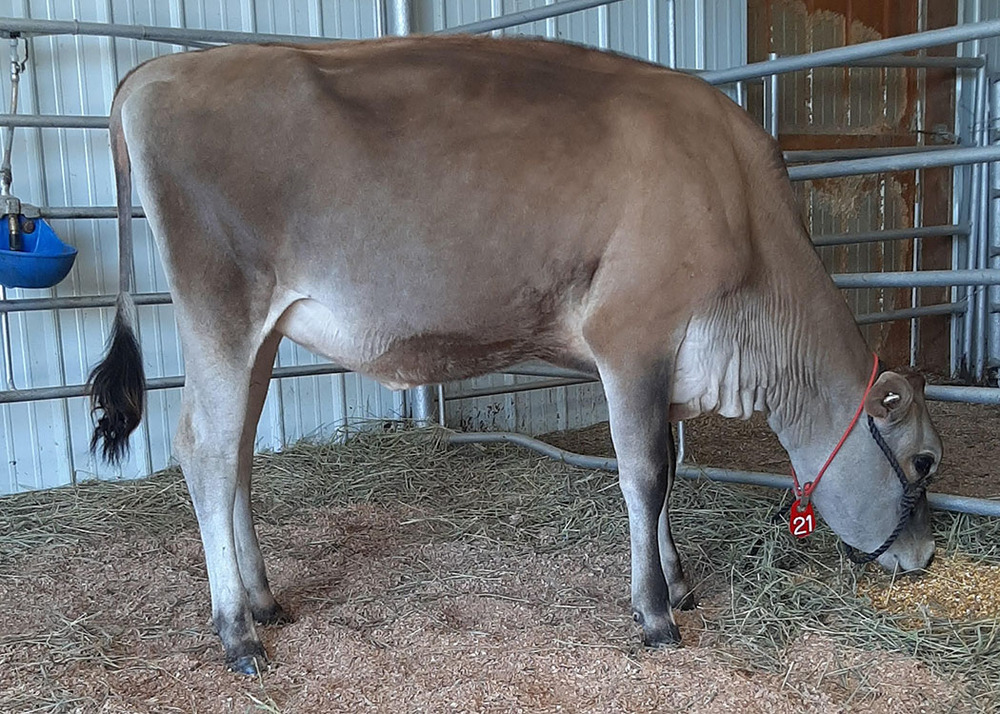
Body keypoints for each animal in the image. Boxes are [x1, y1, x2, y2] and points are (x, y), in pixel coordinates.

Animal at [89, 36, 942, 674]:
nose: (928, 556)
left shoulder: (668, 358)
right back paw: (237, 631)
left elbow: (669, 471)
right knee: (202, 447)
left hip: (261, 335)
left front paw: (677, 581)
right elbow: (645, 474)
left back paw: (265, 600)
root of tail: (155, 72)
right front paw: (655, 615)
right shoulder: (631, 335)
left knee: (236, 454)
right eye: (926, 460)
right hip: (220, 309)